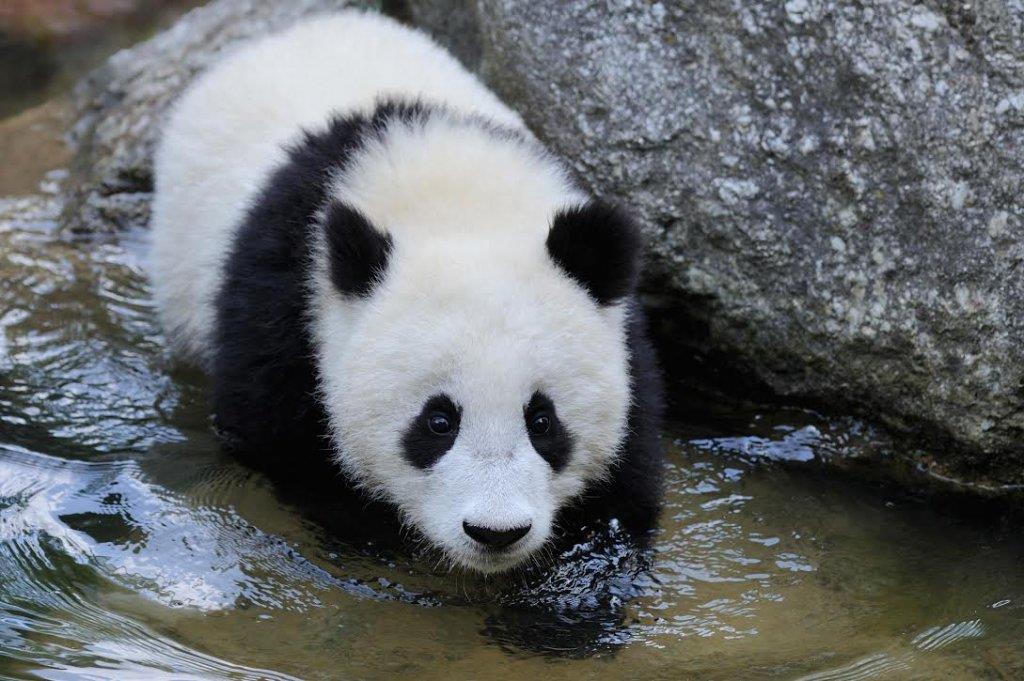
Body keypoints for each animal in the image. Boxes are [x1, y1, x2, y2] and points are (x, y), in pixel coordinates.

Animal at [150, 11, 663, 574]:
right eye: (438, 421)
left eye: (543, 420)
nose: (496, 532)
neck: (459, 204)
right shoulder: (282, 309)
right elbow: (286, 447)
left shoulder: (625, 339)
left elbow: (623, 488)